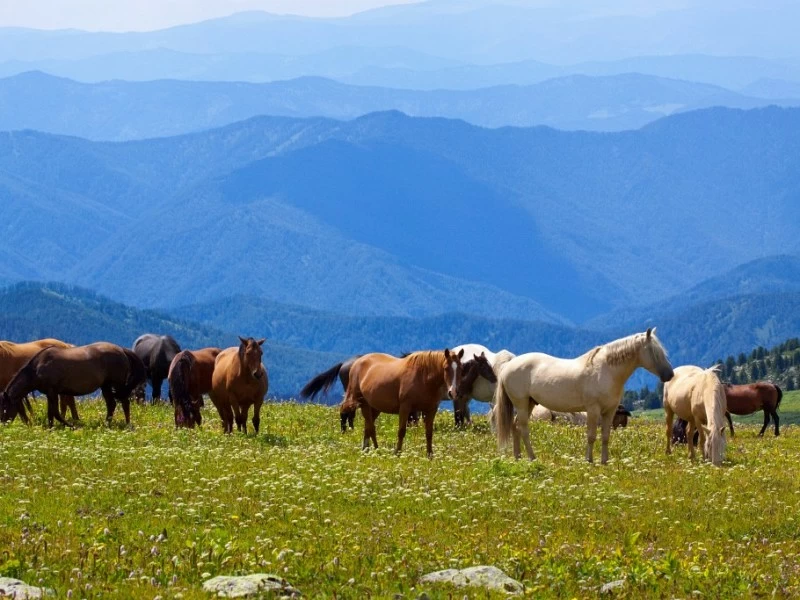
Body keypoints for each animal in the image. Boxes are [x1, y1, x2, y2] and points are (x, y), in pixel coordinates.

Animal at [0, 342, 147, 426]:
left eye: (4, 407)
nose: (3, 423)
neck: (37, 368)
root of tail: (122, 350)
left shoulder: (52, 391)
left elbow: (55, 412)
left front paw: (68, 425)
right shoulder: (50, 393)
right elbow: (51, 412)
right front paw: (51, 427)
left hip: (117, 384)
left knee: (124, 402)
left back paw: (127, 424)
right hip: (105, 386)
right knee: (111, 404)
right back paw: (106, 424)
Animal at [494, 328, 676, 464]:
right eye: (653, 351)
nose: (670, 374)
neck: (607, 371)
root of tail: (509, 366)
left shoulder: (609, 411)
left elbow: (605, 436)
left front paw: (604, 461)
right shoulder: (593, 410)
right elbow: (591, 436)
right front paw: (589, 460)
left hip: (530, 403)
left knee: (516, 426)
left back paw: (518, 457)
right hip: (521, 403)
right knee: (523, 428)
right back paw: (532, 457)